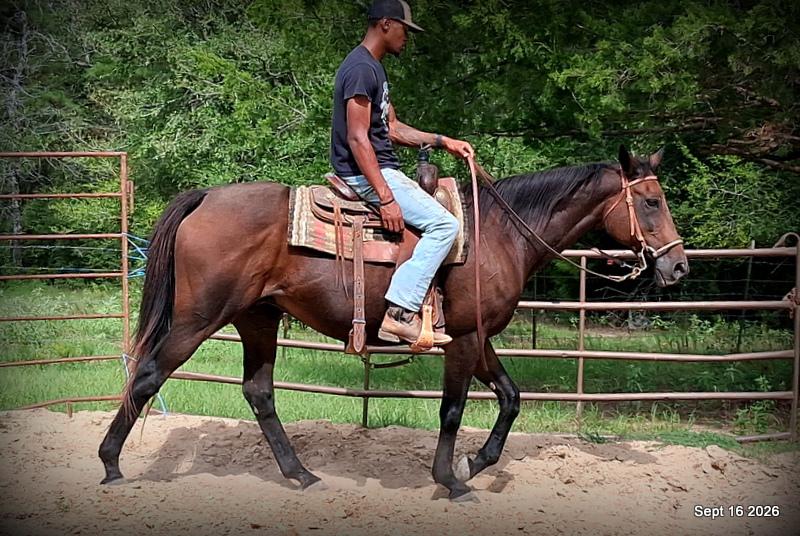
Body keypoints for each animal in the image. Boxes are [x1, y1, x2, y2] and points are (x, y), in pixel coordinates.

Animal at [99, 145, 688, 500]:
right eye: (651, 201)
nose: (678, 265)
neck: (499, 233)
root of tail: (205, 198)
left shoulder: (478, 338)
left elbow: (510, 397)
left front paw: (476, 463)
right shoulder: (463, 340)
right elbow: (452, 411)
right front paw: (451, 479)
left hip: (258, 319)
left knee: (259, 392)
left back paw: (300, 474)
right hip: (197, 319)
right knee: (148, 375)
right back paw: (110, 464)